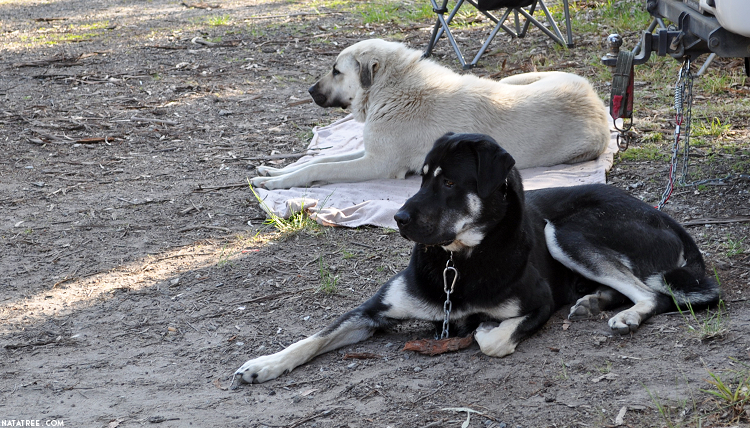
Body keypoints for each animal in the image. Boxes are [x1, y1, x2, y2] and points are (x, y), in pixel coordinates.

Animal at [235, 132, 724, 382]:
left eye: (449, 183)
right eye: (420, 177)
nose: (397, 217)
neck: (459, 262)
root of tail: (666, 217)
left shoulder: (537, 305)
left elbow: (492, 339)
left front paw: (482, 329)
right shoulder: (372, 311)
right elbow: (312, 338)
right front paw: (266, 363)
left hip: (564, 231)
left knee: (653, 294)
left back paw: (625, 315)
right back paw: (594, 301)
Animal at [253, 38, 612, 189]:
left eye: (336, 71)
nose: (309, 91)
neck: (391, 87)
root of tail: (596, 98)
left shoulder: (378, 164)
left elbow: (316, 168)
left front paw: (276, 182)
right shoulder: (369, 151)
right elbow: (318, 160)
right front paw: (273, 171)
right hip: (511, 80)